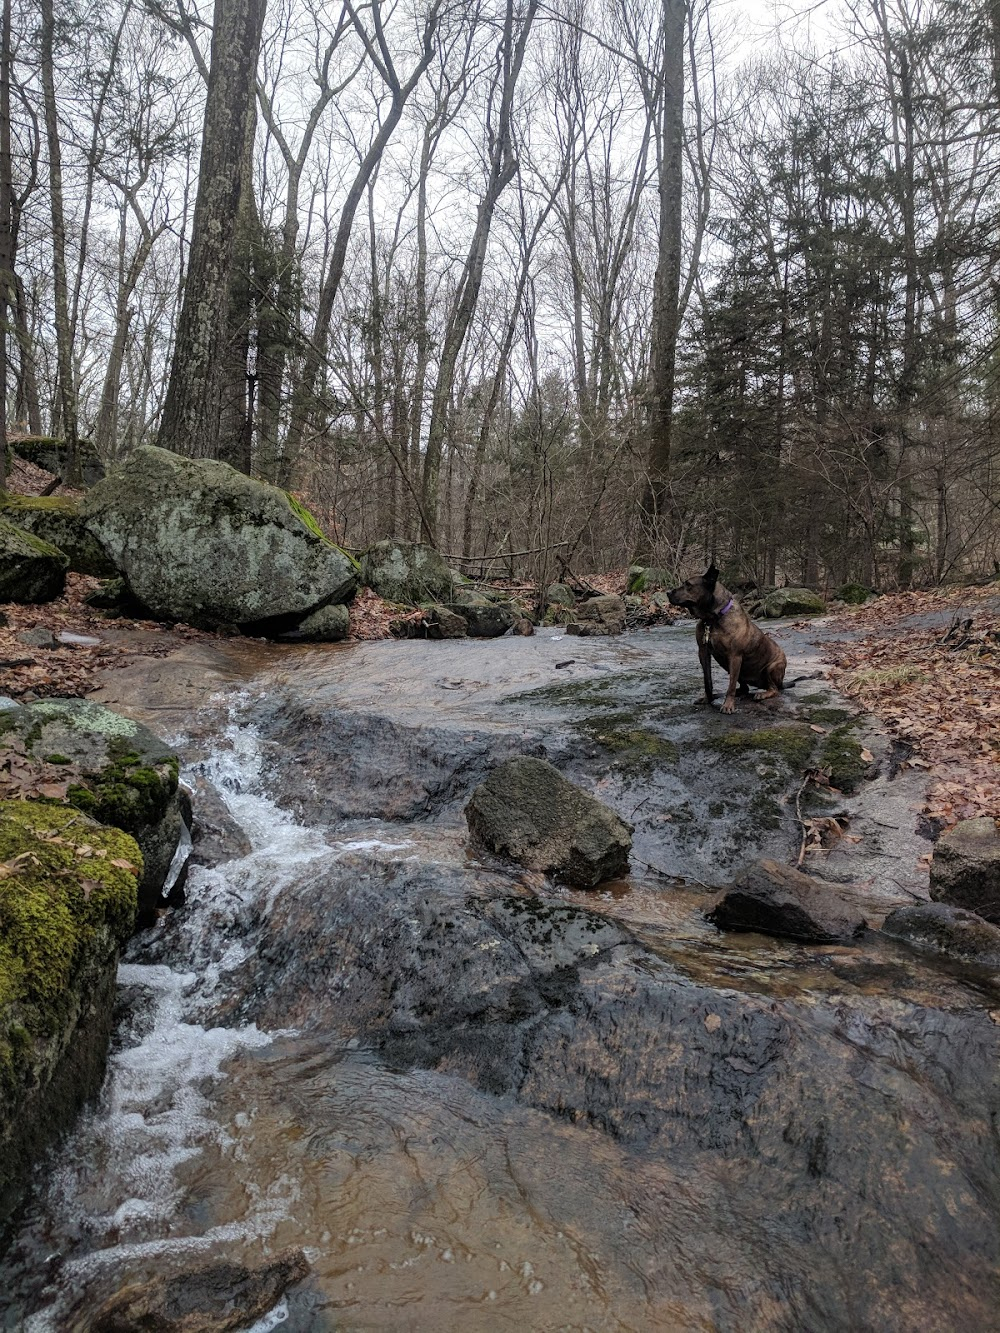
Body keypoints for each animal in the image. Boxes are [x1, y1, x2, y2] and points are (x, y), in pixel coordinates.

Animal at [666, 565, 789, 714]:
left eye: (688, 585)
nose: (667, 593)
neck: (712, 619)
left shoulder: (735, 656)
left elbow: (730, 685)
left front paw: (728, 705)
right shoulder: (703, 653)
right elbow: (707, 680)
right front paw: (708, 698)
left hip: (771, 668)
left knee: (774, 689)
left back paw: (763, 693)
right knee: (744, 688)